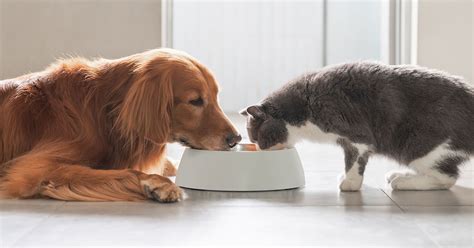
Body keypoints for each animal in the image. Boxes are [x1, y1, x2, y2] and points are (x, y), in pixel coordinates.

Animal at [0, 49, 243, 203]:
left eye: (216, 96)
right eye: (195, 101)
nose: (236, 139)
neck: (102, 111)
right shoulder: (31, 168)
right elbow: (113, 172)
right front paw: (156, 183)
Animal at [243, 62, 472, 192]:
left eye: (258, 137)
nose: (259, 149)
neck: (304, 107)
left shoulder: (356, 136)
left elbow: (354, 163)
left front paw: (350, 184)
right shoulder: (346, 141)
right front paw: (346, 178)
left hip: (419, 145)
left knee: (447, 178)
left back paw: (402, 182)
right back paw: (400, 175)